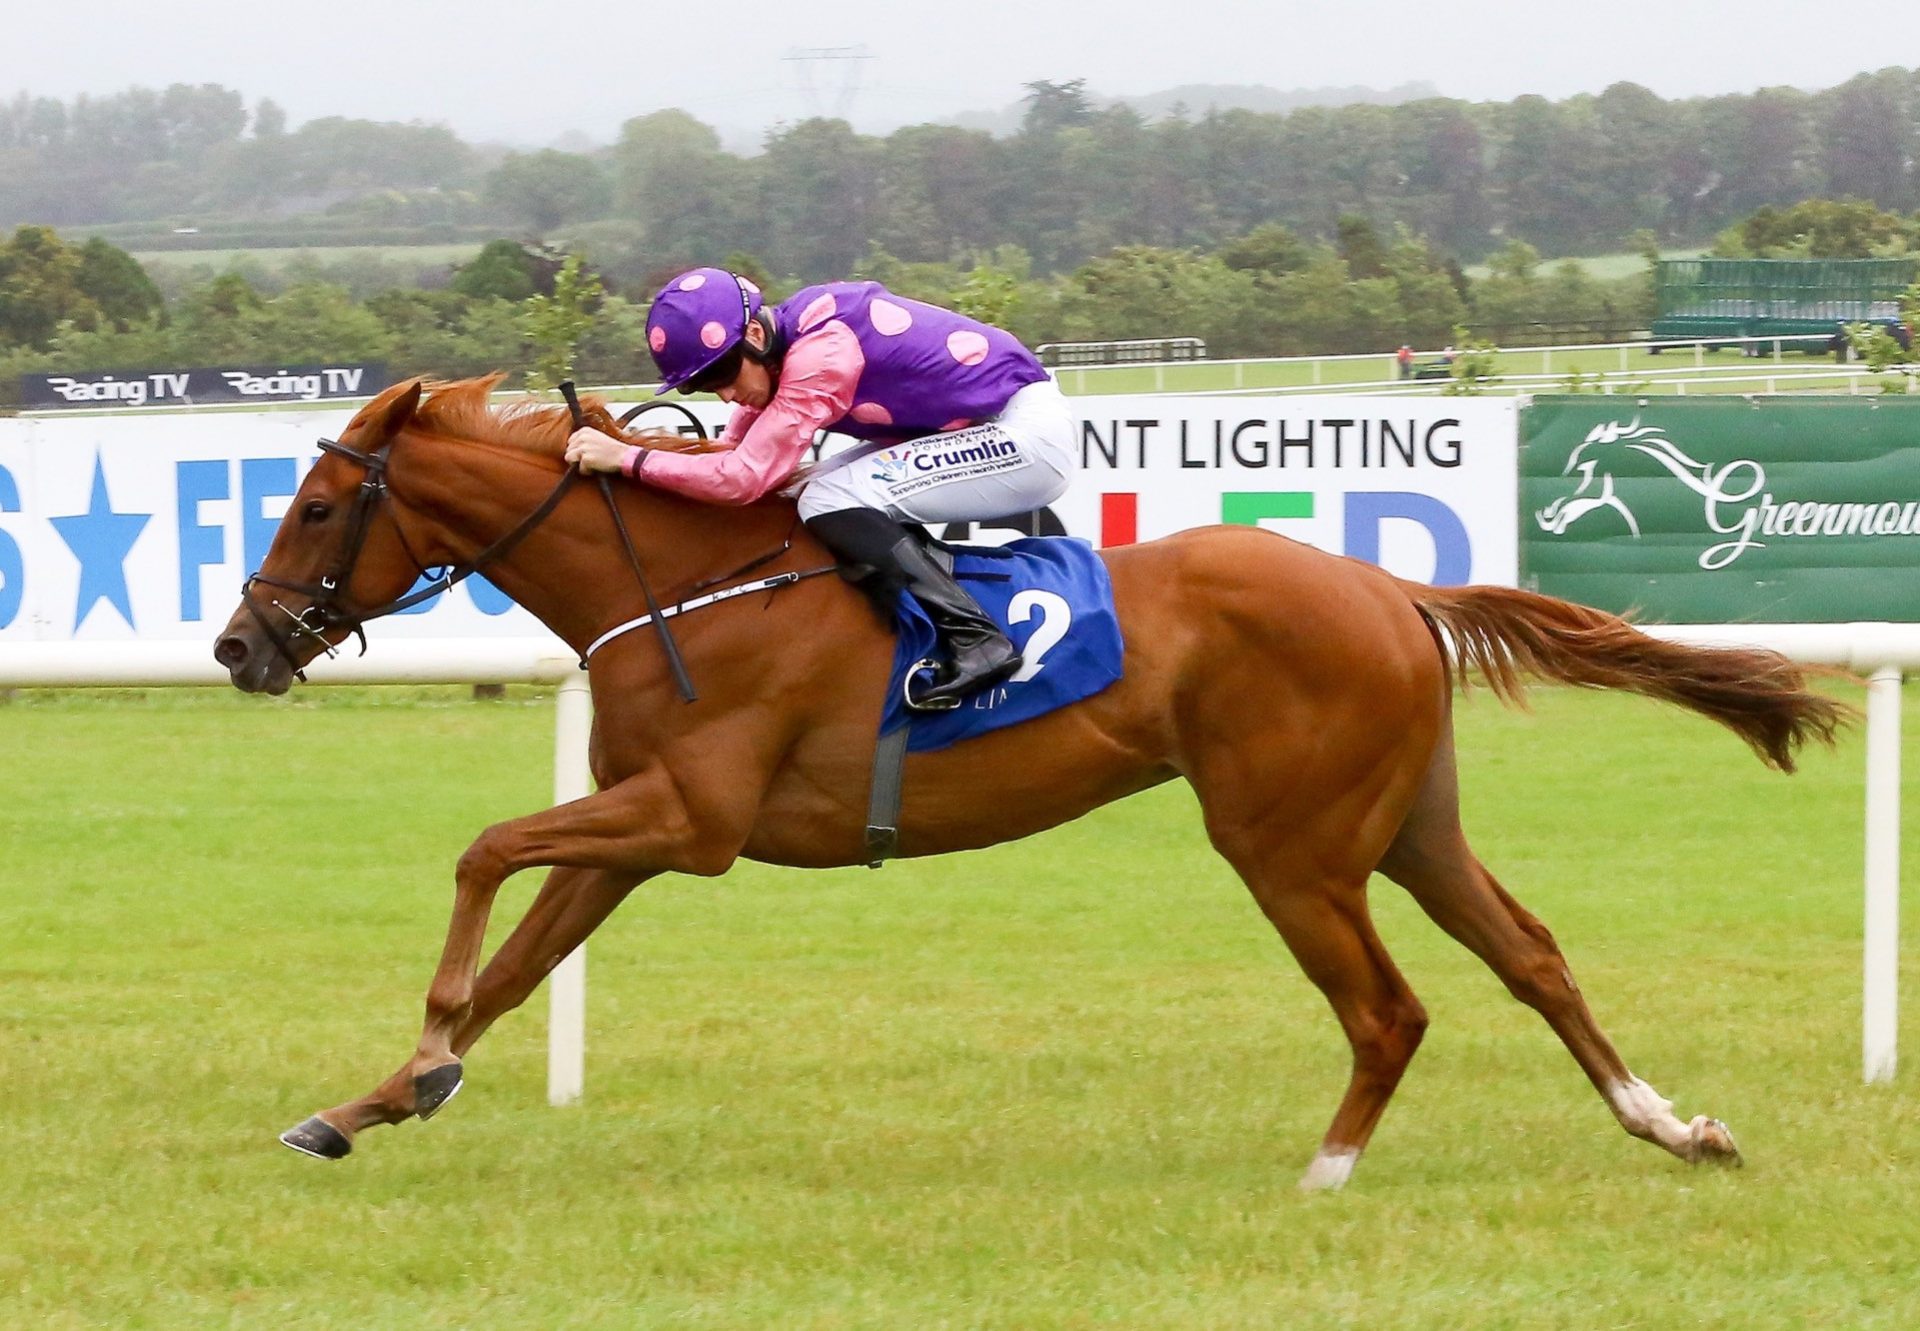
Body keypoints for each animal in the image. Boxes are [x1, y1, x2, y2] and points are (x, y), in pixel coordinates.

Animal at [210, 378, 1843, 1190]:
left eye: (316, 501)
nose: (239, 643)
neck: (680, 582)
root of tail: (1390, 587)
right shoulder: (637, 835)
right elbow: (517, 957)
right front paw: (373, 1098)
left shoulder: (694, 821)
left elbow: (485, 850)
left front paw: (421, 1055)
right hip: (1406, 824)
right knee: (1533, 956)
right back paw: (1673, 1125)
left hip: (1291, 843)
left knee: (1392, 1007)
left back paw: (1324, 1171)